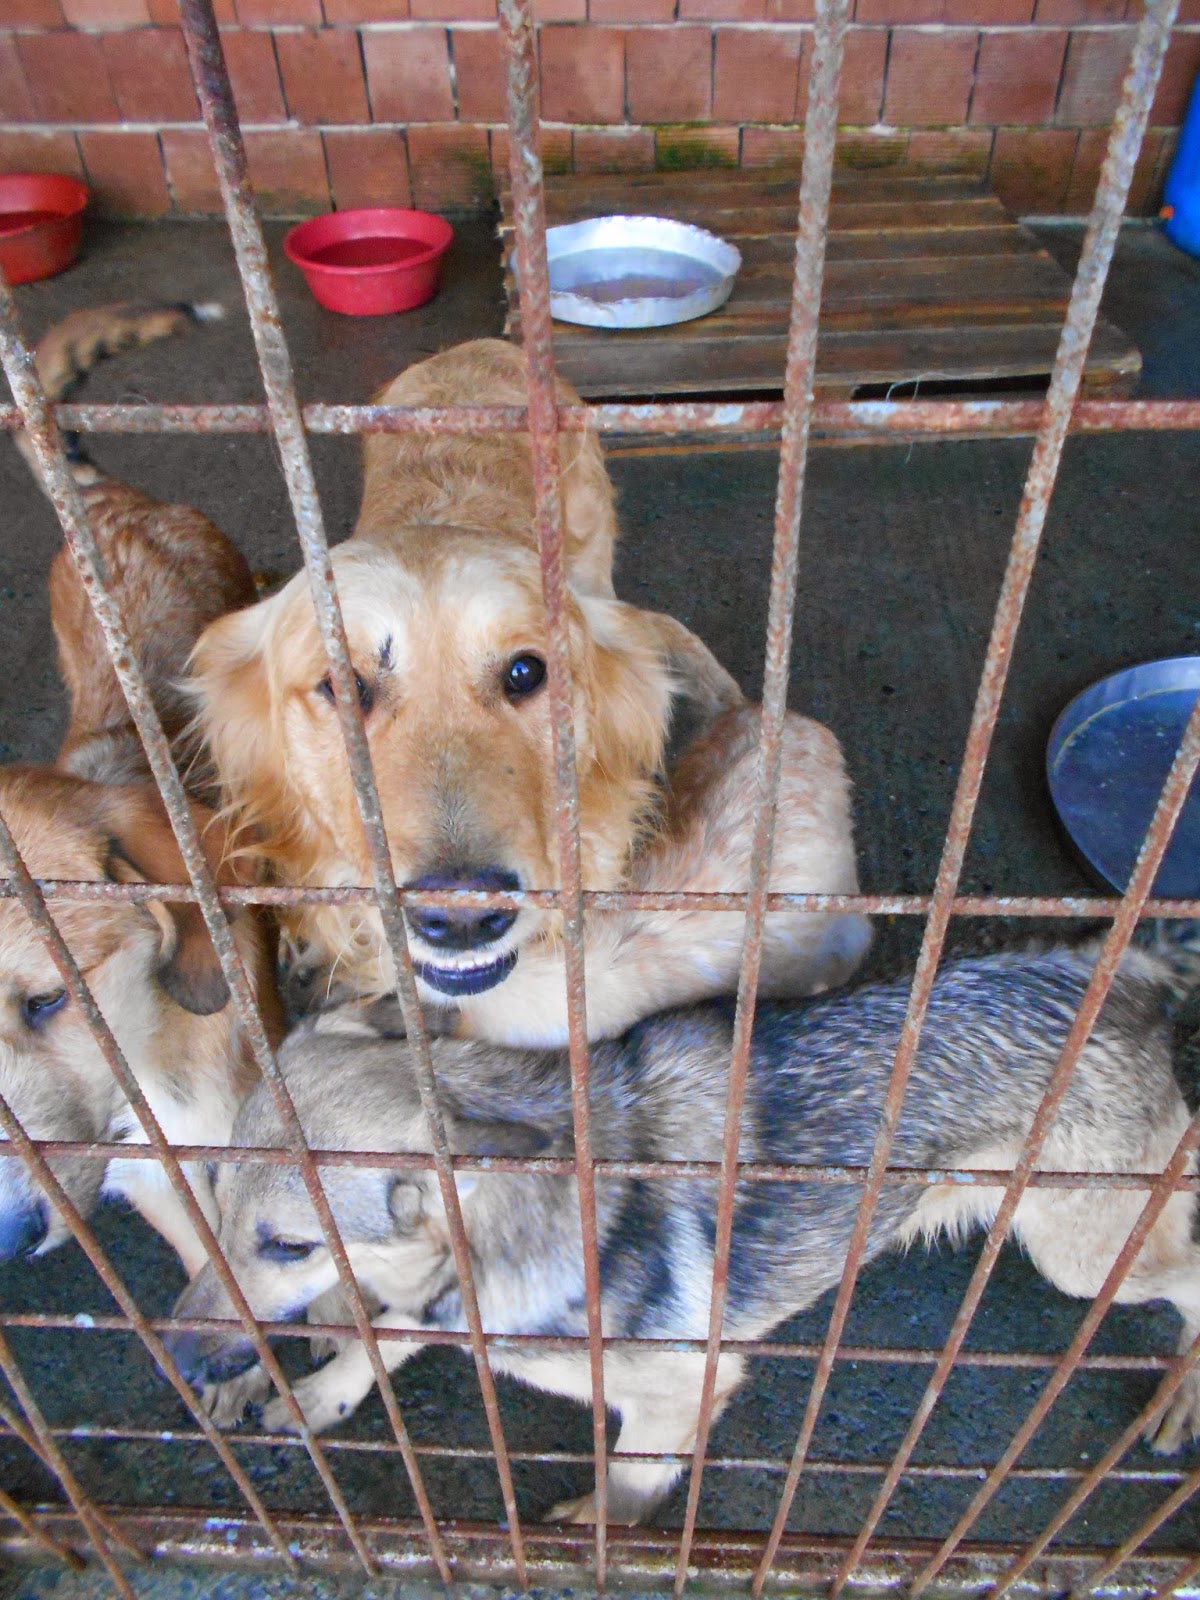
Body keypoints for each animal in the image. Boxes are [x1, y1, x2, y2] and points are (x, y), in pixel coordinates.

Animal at [167, 947, 1200, 1523]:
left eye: (290, 1245)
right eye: (214, 1202)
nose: (176, 1356)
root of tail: (1126, 985)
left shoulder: (684, 1387)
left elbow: (627, 1486)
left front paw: (592, 1530)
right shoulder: (452, 1306)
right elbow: (387, 1333)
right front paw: (323, 1392)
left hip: (1085, 1258)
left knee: (1184, 1260)